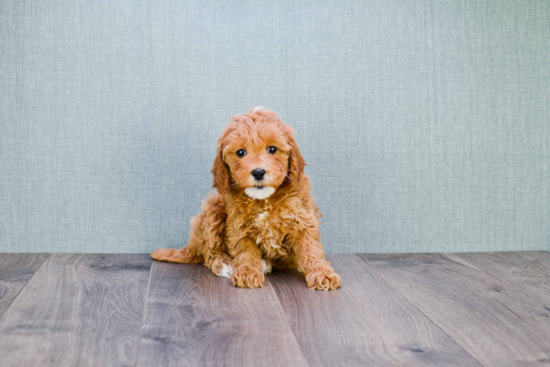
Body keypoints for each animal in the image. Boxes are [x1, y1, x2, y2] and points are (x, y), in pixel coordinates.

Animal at [151, 108, 340, 292]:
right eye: (240, 152)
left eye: (272, 149)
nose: (258, 172)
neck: (264, 200)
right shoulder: (238, 225)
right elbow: (245, 251)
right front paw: (248, 272)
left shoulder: (303, 218)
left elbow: (311, 248)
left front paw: (322, 273)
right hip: (213, 208)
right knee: (209, 252)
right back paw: (224, 263)